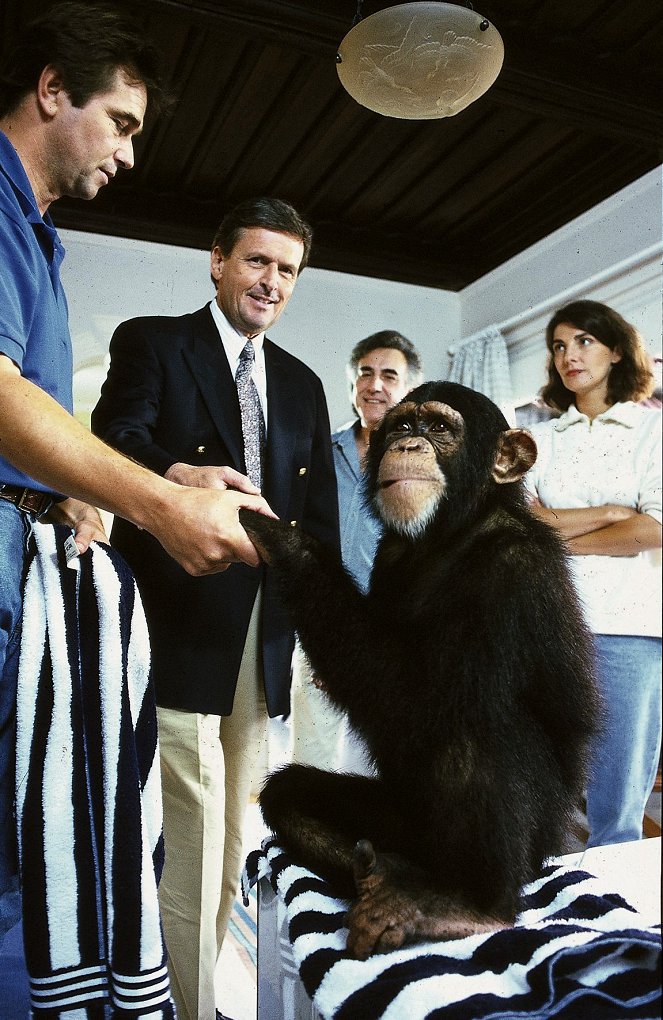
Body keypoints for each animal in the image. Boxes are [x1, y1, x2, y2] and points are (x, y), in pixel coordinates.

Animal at [238, 381, 599, 954]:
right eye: (403, 425)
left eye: (440, 428)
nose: (408, 445)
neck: (450, 534)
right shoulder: (390, 558)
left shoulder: (513, 573)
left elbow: (414, 694)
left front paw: (284, 539)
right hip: (397, 818)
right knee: (288, 795)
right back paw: (388, 876)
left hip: (539, 840)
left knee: (470, 730)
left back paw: (472, 905)